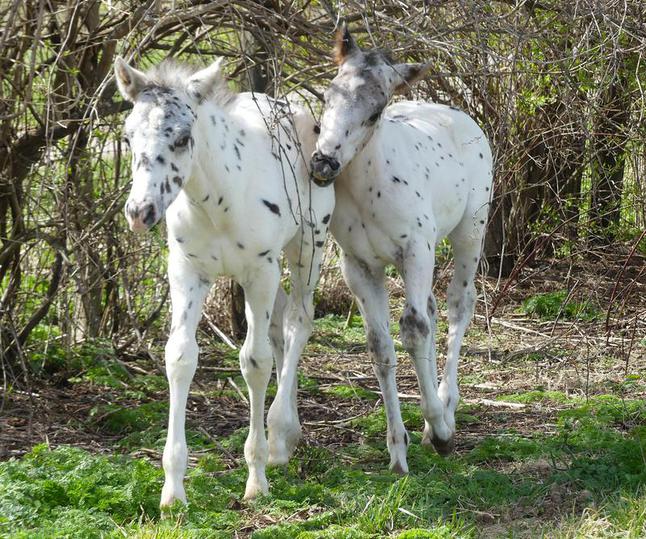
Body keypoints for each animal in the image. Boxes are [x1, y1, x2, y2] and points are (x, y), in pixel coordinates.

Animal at [116, 57, 336, 504]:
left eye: (183, 138)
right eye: (128, 137)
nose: (140, 211)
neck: (218, 200)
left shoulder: (260, 271)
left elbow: (255, 361)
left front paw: (256, 478)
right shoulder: (187, 272)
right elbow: (180, 358)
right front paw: (172, 491)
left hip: (309, 246)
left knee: (298, 322)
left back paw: (280, 433)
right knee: (280, 325)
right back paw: (286, 433)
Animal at [312, 26, 494, 472]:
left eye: (375, 112)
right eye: (327, 94)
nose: (323, 164)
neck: (369, 187)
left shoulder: (416, 252)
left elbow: (413, 330)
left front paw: (440, 431)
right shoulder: (358, 266)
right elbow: (380, 346)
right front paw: (398, 450)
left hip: (469, 232)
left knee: (456, 306)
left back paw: (446, 408)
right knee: (430, 310)